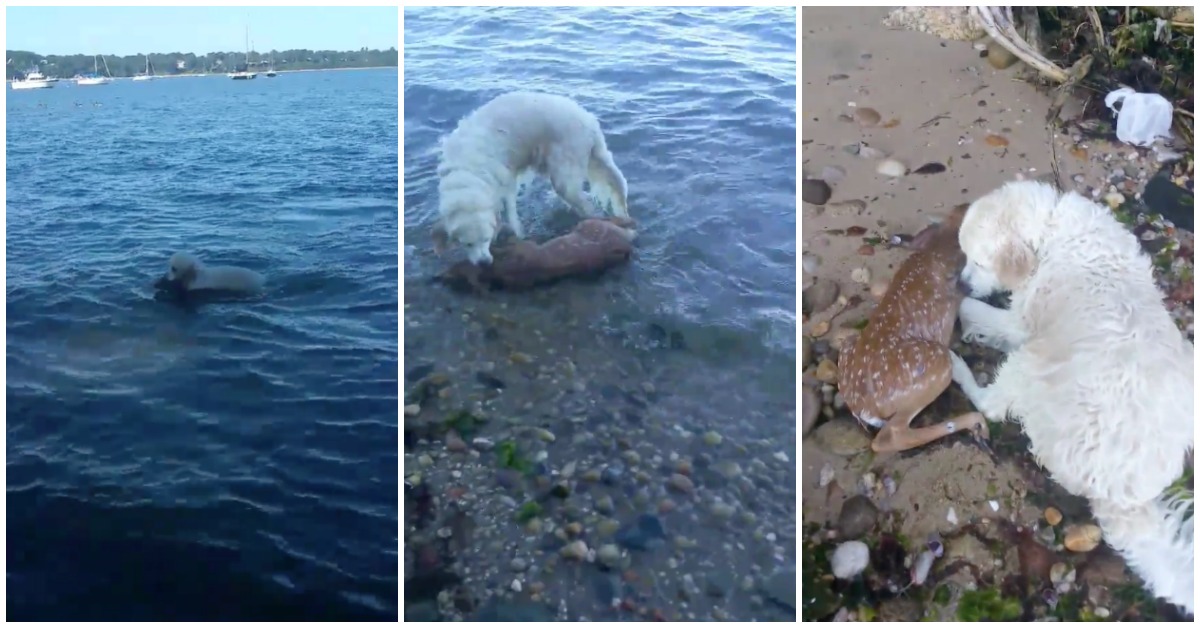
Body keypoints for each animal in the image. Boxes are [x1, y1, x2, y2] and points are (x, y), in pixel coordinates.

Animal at [434, 90, 638, 262]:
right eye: (467, 244)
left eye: (485, 239)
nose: (484, 263)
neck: (467, 173)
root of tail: (589, 122)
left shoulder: (505, 180)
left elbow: (510, 213)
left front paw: (517, 233)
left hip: (565, 173)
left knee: (586, 206)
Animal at [945, 180, 1190, 614]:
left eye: (979, 261)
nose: (961, 282)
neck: (1050, 229)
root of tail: (1127, 494)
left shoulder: (1020, 323)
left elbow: (975, 310)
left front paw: (958, 307)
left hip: (1032, 362)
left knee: (991, 406)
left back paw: (959, 369)